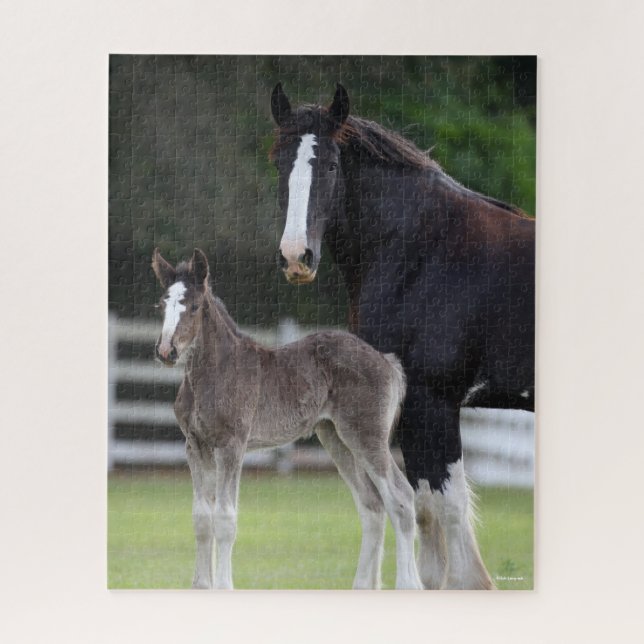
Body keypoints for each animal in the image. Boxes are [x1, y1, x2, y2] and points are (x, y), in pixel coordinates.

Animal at [152, 248, 423, 590]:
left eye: (195, 306)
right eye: (162, 305)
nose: (166, 351)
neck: (215, 371)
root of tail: (387, 361)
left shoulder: (231, 446)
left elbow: (225, 518)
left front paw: (224, 586)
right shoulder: (195, 446)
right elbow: (202, 517)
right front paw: (201, 586)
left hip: (366, 437)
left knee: (401, 498)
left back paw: (409, 584)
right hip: (335, 438)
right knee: (372, 505)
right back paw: (362, 585)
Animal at [270, 83, 535, 590]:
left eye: (330, 165)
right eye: (278, 162)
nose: (296, 257)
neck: (424, 250)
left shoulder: (432, 402)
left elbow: (447, 520)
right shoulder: (415, 409)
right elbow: (429, 523)